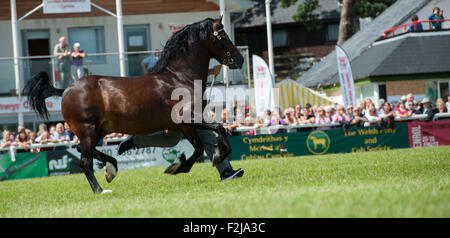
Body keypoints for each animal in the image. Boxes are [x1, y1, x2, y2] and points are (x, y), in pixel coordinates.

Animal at [23, 17, 244, 194]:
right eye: (223, 35)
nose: (240, 59)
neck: (179, 78)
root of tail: (66, 89)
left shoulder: (186, 125)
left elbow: (200, 147)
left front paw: (179, 166)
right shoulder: (188, 120)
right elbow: (219, 130)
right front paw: (214, 156)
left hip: (98, 131)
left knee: (82, 150)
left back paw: (112, 167)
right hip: (87, 130)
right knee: (84, 162)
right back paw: (100, 190)